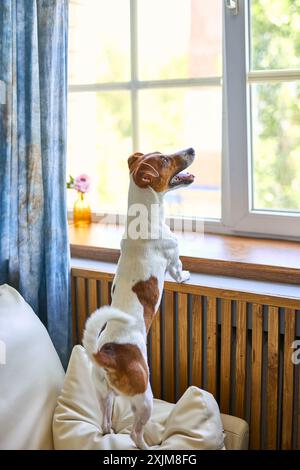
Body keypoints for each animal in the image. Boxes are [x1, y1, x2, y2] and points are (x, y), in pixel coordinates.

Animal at [82, 148, 195, 448]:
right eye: (166, 160)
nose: (191, 150)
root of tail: (105, 354)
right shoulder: (173, 257)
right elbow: (178, 270)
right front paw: (186, 276)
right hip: (144, 396)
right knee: (134, 432)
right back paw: (146, 445)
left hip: (104, 394)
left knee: (105, 422)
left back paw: (109, 432)